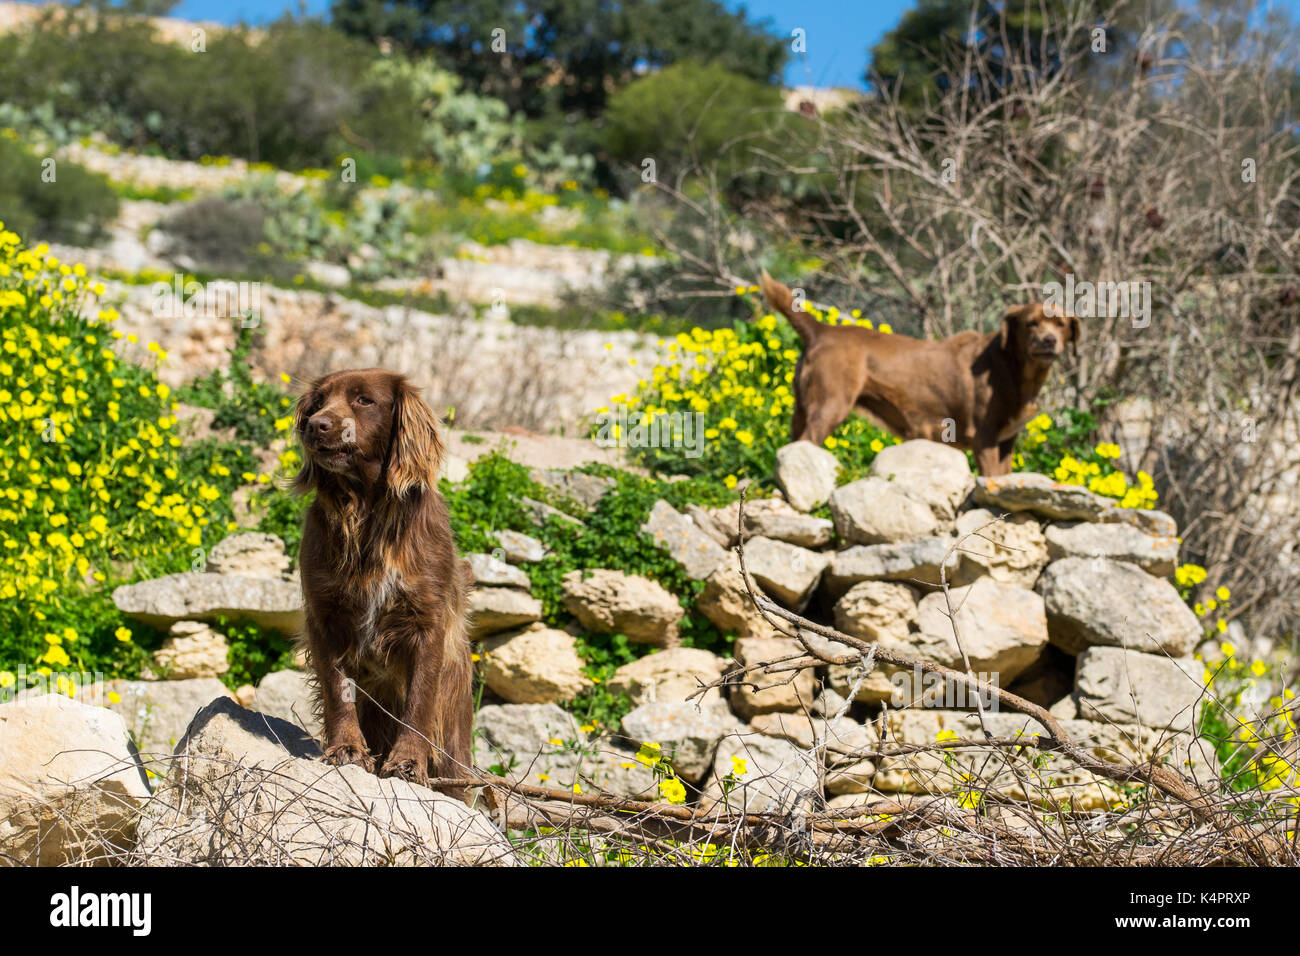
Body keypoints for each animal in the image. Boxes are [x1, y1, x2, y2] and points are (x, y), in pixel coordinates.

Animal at [292, 369, 475, 801]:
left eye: (364, 400)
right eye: (318, 402)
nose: (315, 425)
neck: (365, 512)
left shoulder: (427, 623)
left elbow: (419, 702)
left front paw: (407, 763)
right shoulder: (323, 616)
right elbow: (338, 688)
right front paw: (347, 748)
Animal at [759, 273, 1076, 476]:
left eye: (1060, 324)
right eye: (1031, 323)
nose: (1048, 340)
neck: (1014, 368)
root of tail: (821, 329)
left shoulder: (1006, 442)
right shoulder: (984, 438)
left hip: (801, 410)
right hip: (829, 406)